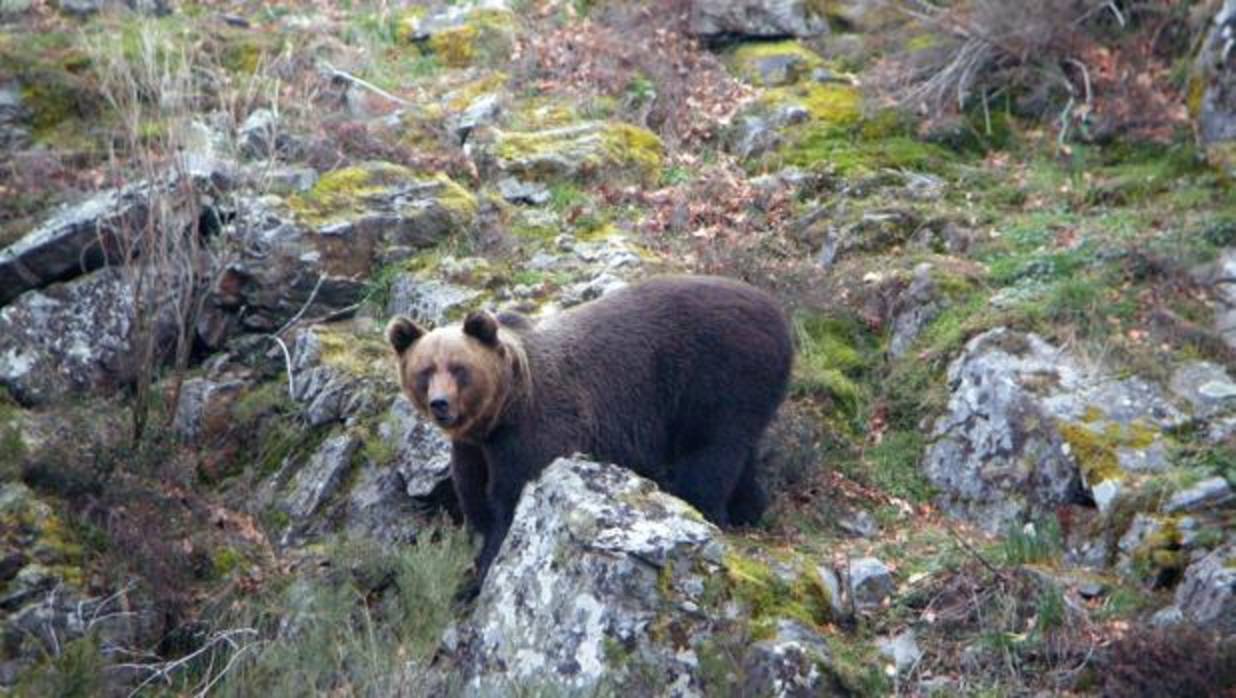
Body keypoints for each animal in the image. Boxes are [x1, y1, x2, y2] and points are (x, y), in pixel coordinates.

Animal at [383, 275, 791, 585]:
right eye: (425, 370)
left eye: (458, 368)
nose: (440, 404)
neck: (502, 411)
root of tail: (779, 313)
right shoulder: (473, 447)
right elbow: (474, 499)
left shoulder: (534, 433)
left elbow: (510, 502)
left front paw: (484, 569)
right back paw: (749, 509)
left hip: (717, 379)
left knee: (709, 457)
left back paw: (708, 510)